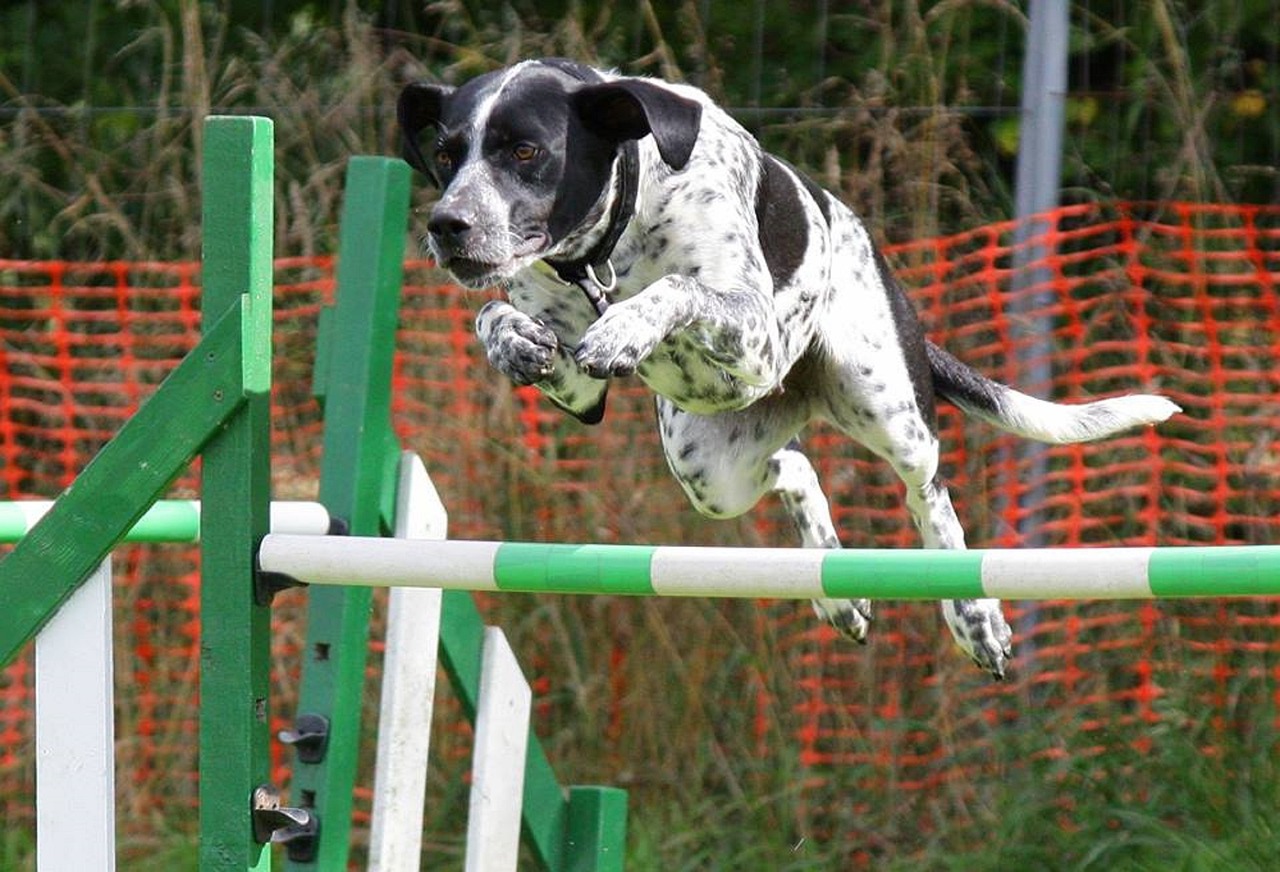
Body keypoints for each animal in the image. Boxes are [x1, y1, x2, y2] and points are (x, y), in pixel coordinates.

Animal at [391, 57, 1177, 676]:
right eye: (447, 154)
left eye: (526, 151)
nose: (447, 225)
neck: (611, 247)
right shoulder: (580, 389)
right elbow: (496, 318)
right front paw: (512, 339)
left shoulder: (756, 334)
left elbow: (676, 291)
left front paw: (628, 326)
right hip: (708, 470)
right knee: (795, 466)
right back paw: (838, 594)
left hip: (888, 413)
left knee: (932, 500)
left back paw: (973, 617)